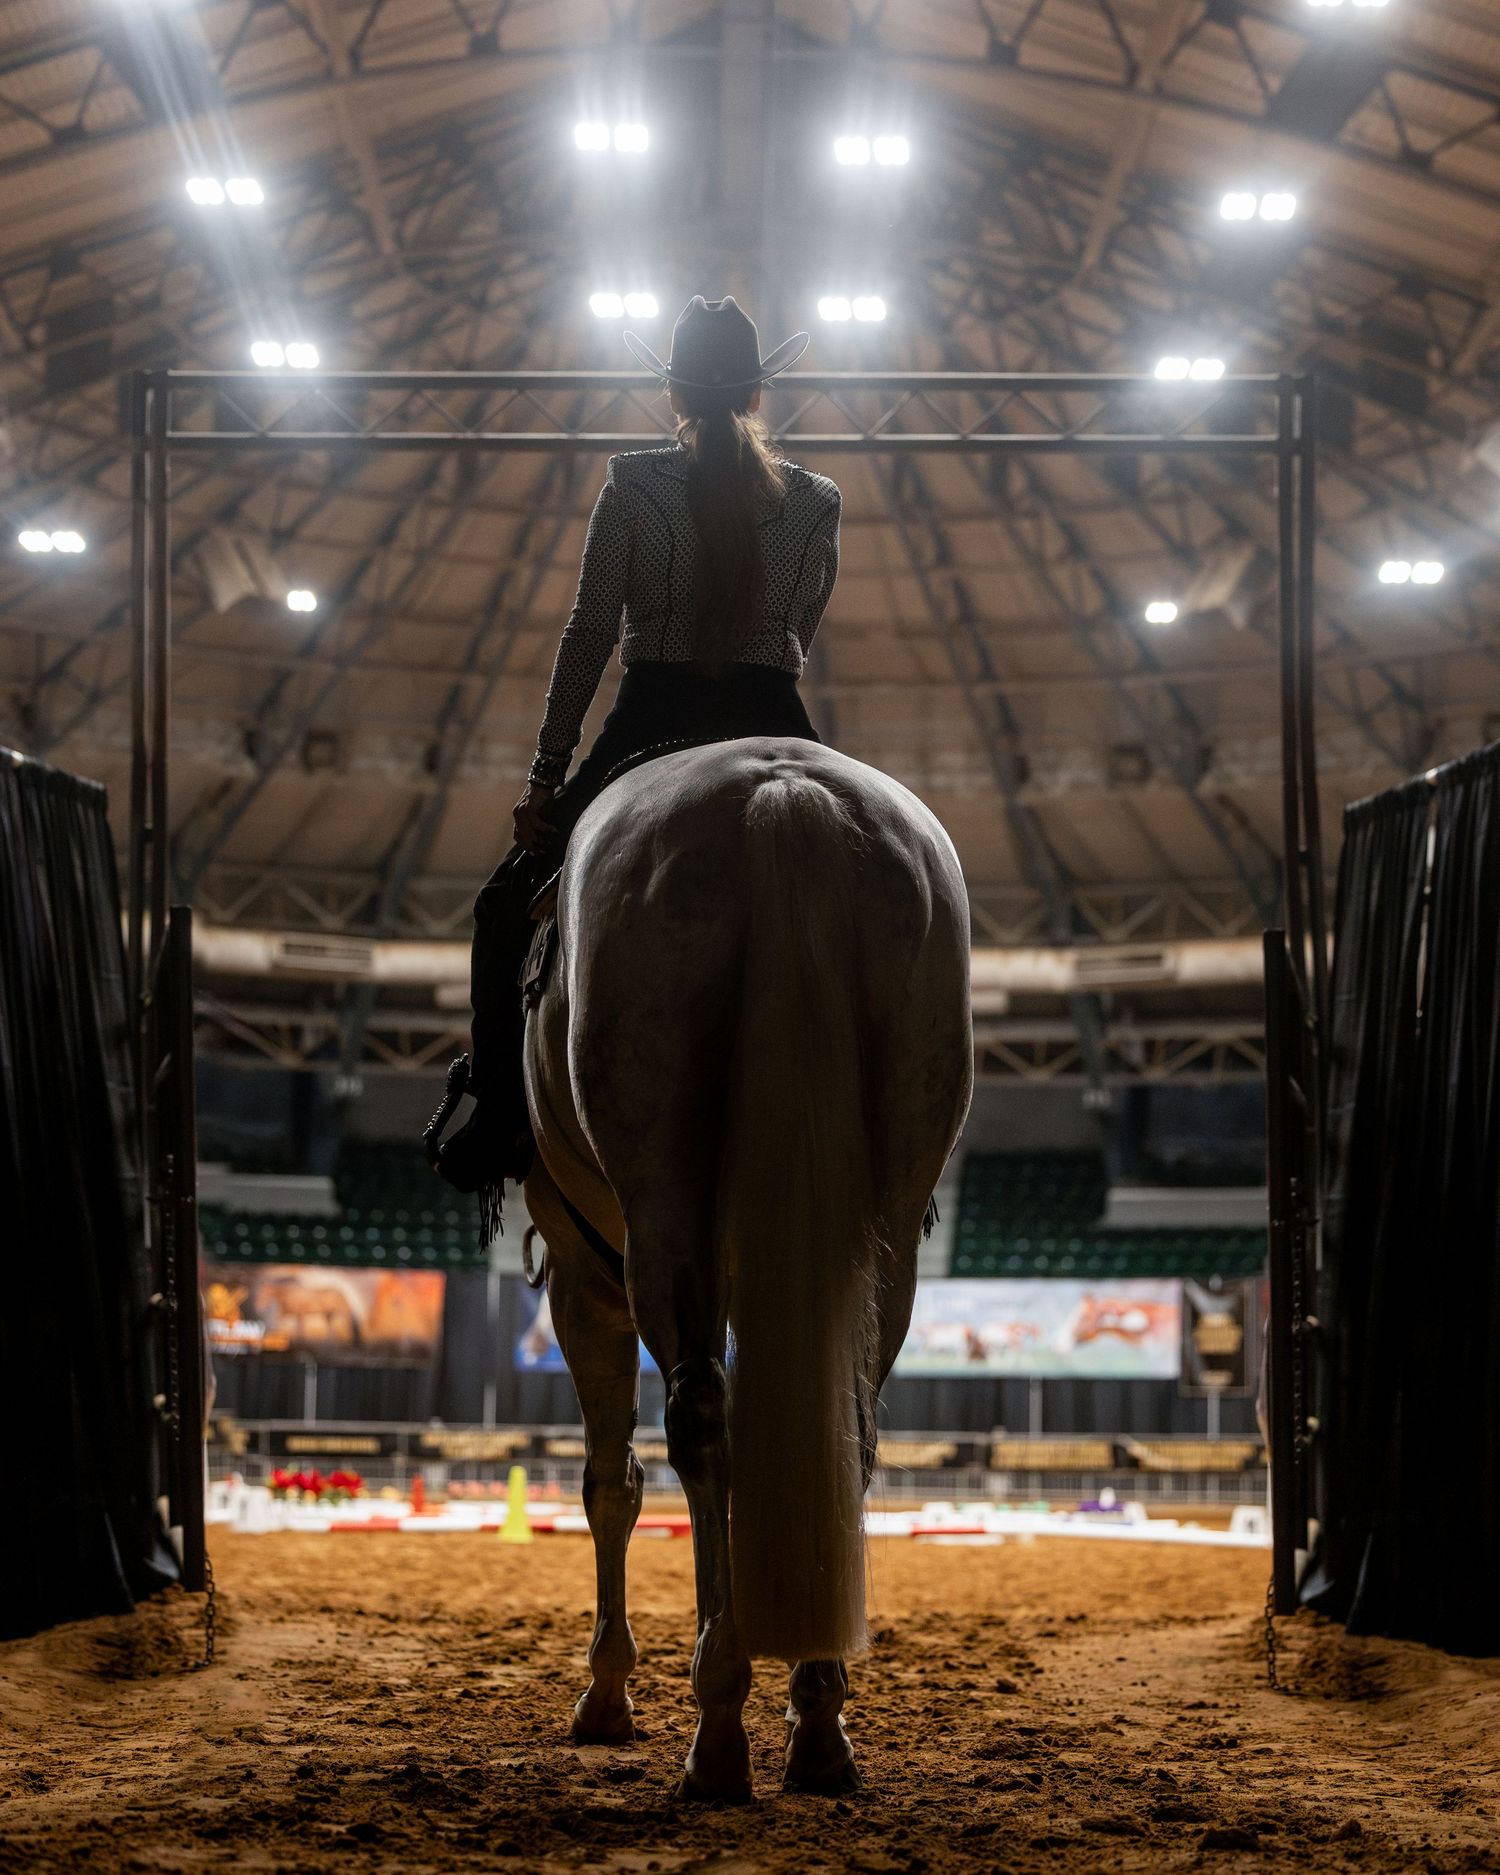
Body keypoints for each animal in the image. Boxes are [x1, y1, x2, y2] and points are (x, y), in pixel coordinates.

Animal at [519, 736, 972, 1801]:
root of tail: (783, 790)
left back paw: (719, 1727)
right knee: (849, 1428)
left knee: (697, 1422)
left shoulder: (583, 1279)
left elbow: (611, 1481)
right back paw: (819, 1727)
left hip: (657, 1218)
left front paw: (608, 1696)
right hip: (888, 1228)